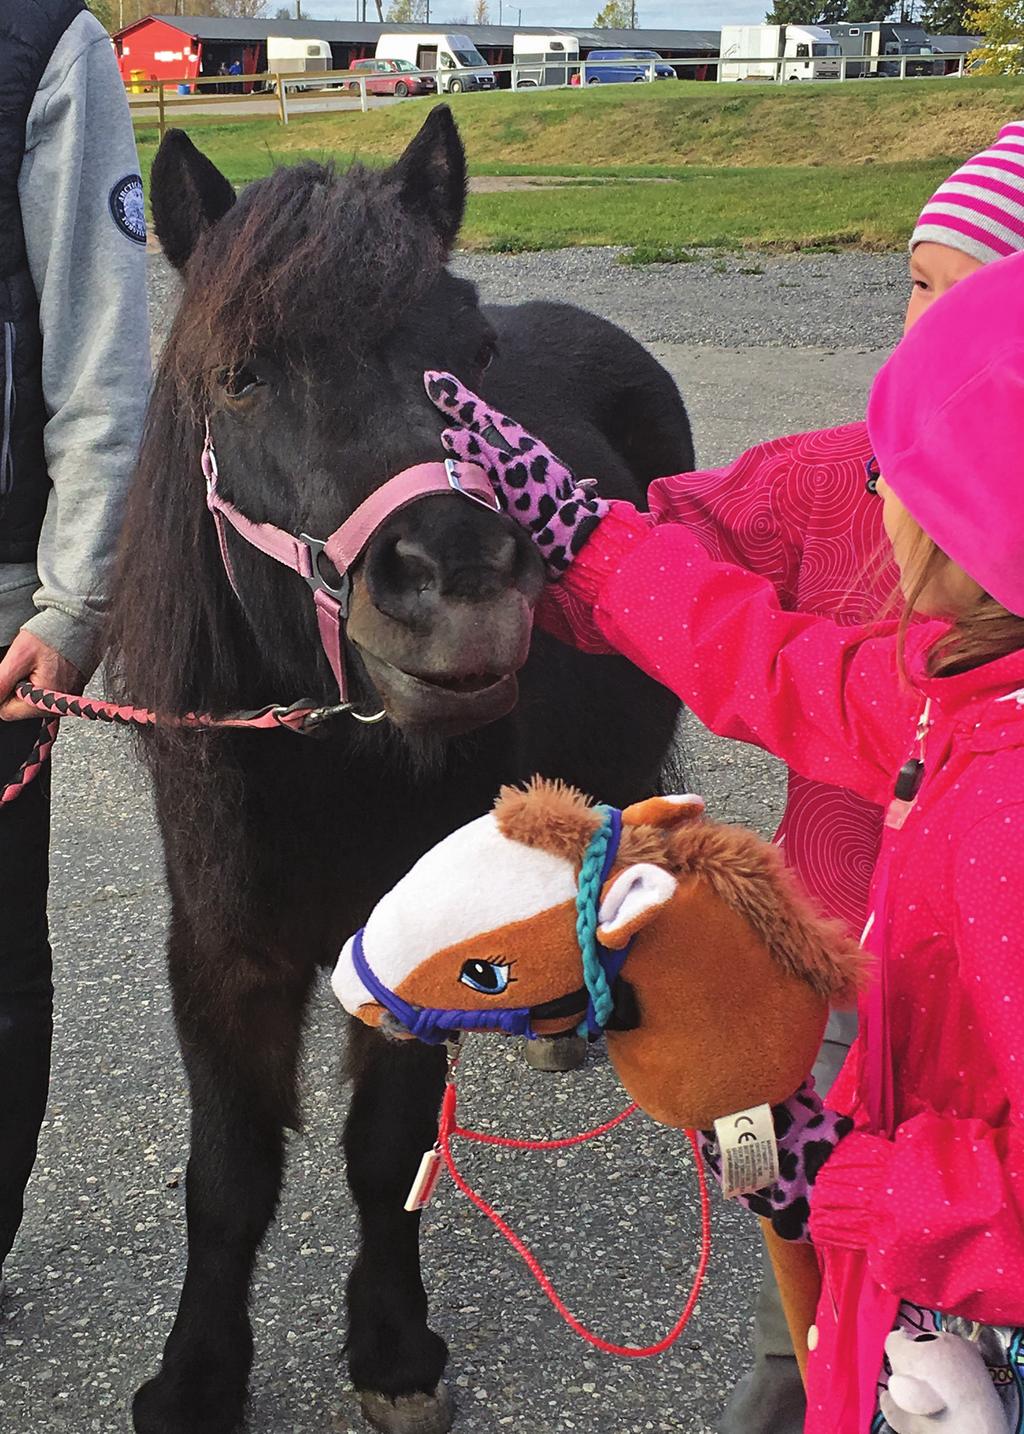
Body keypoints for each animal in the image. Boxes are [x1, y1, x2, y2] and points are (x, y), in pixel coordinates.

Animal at [107, 103, 691, 1434]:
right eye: (241, 373)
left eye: (469, 352)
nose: (462, 584)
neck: (326, 758)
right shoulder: (219, 950)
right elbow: (228, 1176)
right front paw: (197, 1376)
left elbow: (386, 1152)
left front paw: (390, 1351)